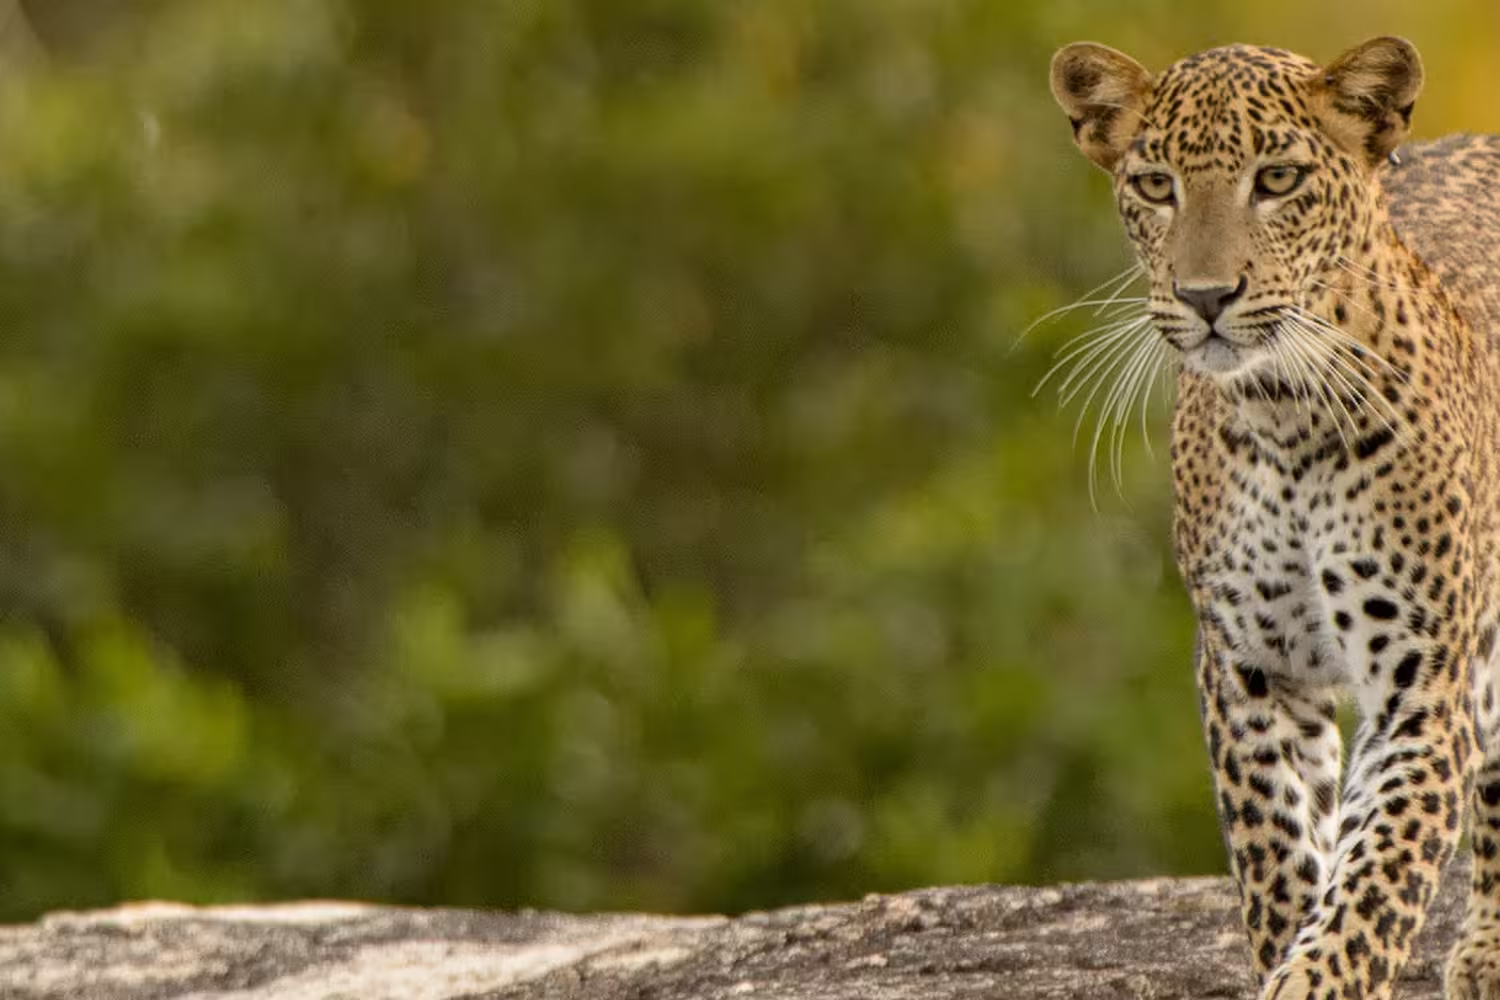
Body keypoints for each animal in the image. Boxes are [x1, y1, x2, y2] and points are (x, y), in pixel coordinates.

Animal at [1048, 36, 1500, 999]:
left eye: (1279, 179)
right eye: (1157, 186)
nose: (1206, 295)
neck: (1284, 413)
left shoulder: (1423, 674)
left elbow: (1378, 873)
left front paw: (1322, 972)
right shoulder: (1249, 668)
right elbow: (1281, 855)